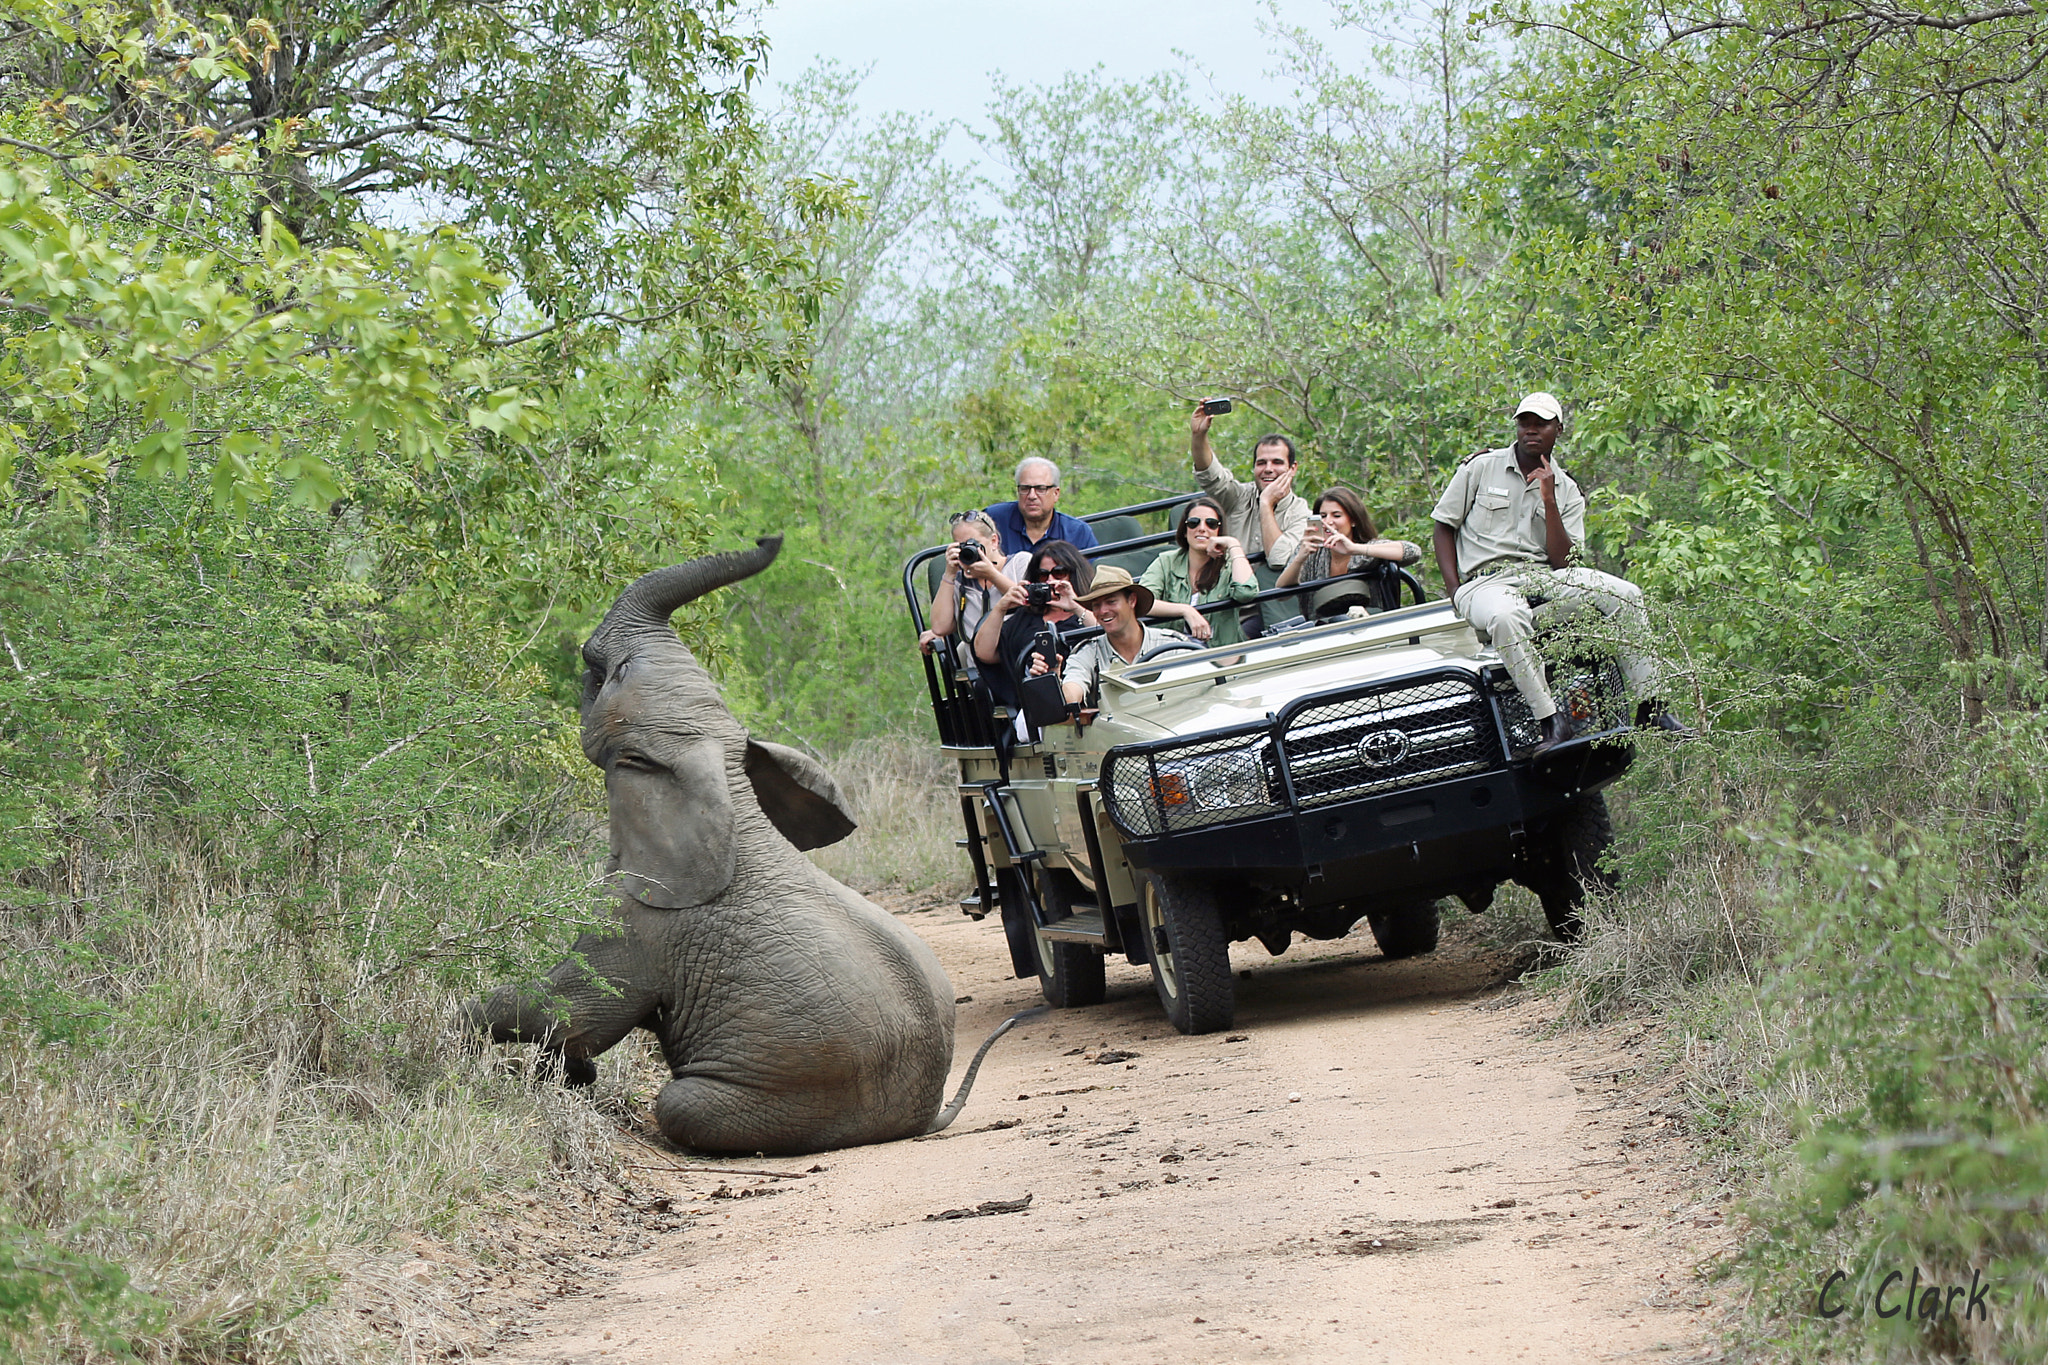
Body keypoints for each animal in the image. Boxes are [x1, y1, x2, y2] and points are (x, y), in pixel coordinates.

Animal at [464, 540, 1024, 1162]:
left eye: (618, 673)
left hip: (789, 1097)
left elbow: (568, 1011)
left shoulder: (643, 927)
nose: (767, 540)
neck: (725, 781)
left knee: (679, 1105)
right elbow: (572, 1029)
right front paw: (563, 1076)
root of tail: (927, 1116)